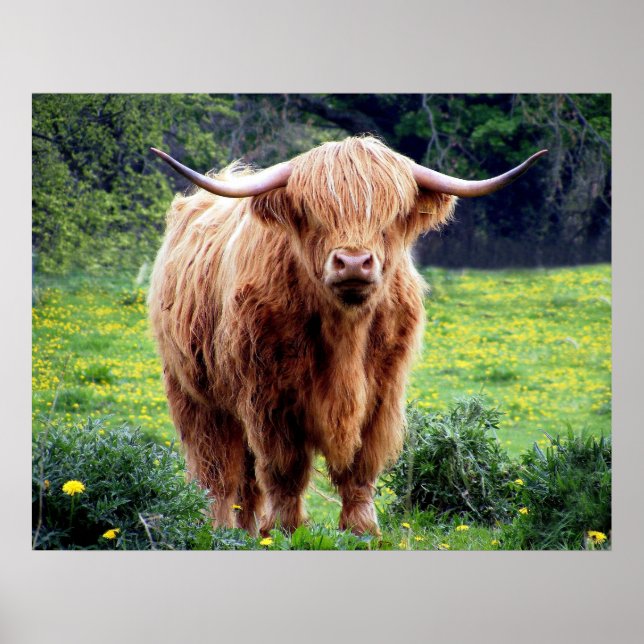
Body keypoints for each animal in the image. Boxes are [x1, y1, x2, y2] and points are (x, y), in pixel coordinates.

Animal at [148, 136, 545, 536]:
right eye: (313, 213)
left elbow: (360, 467)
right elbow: (284, 468)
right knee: (216, 471)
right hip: (195, 395)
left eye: (390, 216)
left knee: (244, 479)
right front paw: (284, 530)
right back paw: (217, 529)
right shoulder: (269, 397)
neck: (345, 336)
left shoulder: (381, 395)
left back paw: (245, 529)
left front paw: (363, 530)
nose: (354, 263)